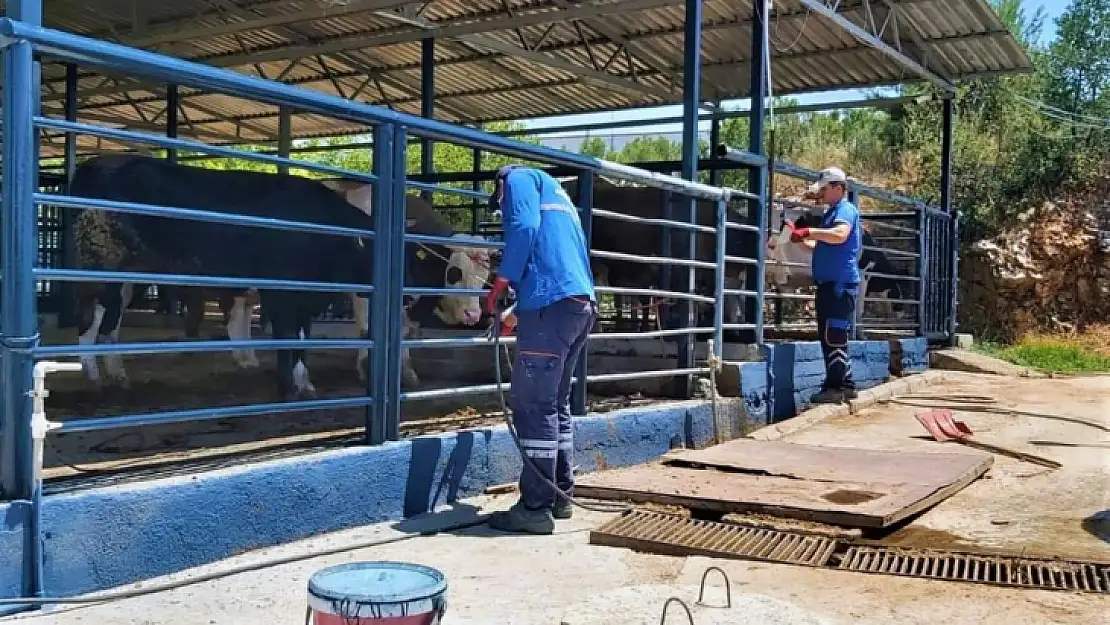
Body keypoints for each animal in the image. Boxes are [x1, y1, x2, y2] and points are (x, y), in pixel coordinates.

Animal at [66, 156, 490, 401]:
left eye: (485, 273)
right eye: (453, 272)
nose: (473, 316)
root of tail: (95, 163)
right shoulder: (296, 295)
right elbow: (314, 337)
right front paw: (303, 384)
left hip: (126, 279)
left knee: (111, 325)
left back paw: (117, 374)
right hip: (103, 269)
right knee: (92, 321)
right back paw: (95, 377)